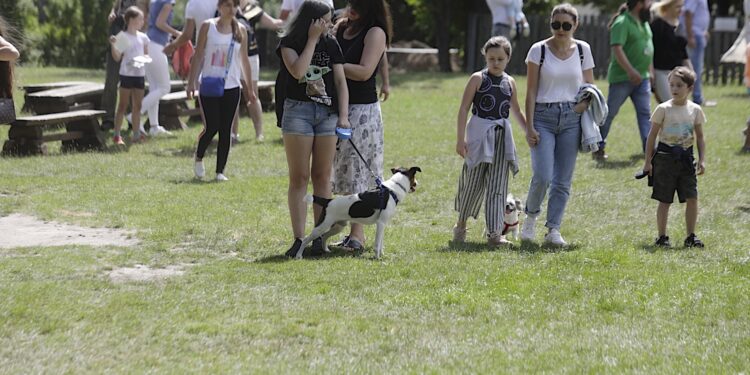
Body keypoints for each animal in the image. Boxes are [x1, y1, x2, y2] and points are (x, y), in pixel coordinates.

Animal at [292, 168, 424, 260]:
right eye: (414, 177)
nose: (417, 183)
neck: (392, 190)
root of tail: (328, 201)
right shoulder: (380, 223)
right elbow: (377, 243)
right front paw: (377, 258)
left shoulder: (383, 224)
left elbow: (381, 242)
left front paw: (382, 254)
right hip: (323, 225)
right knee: (306, 239)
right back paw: (299, 255)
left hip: (339, 226)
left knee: (324, 236)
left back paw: (326, 250)